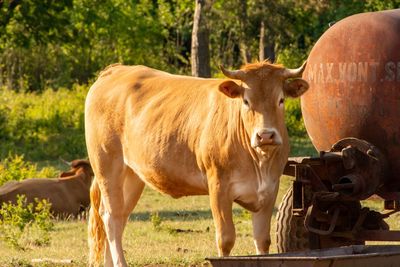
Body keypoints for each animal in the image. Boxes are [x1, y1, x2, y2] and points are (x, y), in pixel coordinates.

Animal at [86, 61, 308, 266]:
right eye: (246, 101)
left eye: (280, 100)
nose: (266, 135)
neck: (258, 162)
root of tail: (115, 69)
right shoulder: (218, 188)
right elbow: (225, 239)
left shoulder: (269, 190)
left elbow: (262, 241)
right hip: (107, 166)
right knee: (112, 218)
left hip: (133, 175)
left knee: (119, 216)